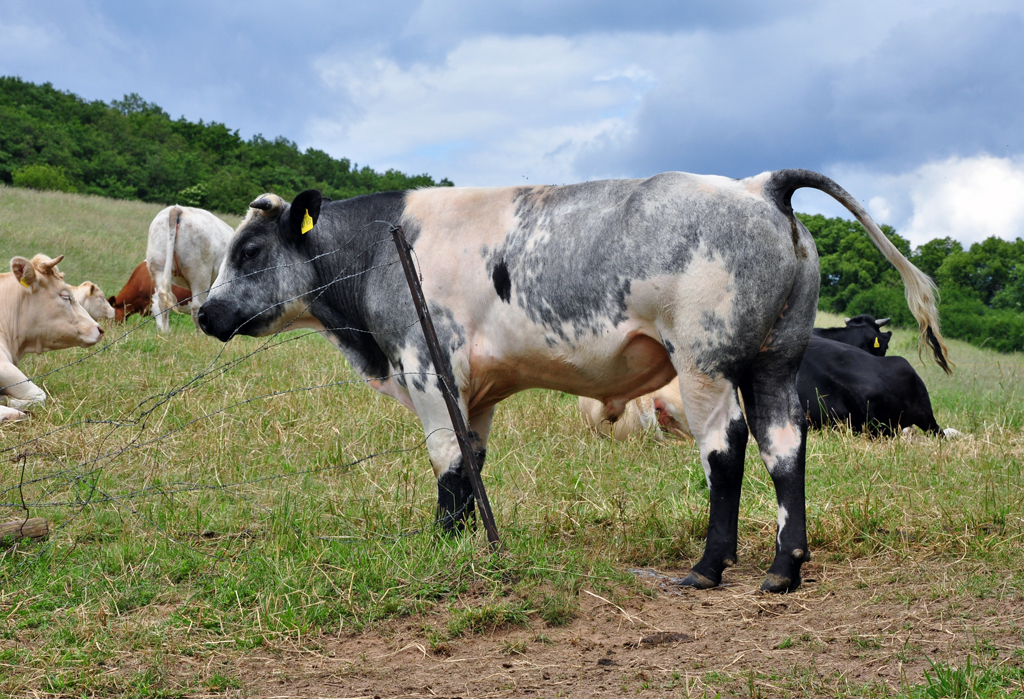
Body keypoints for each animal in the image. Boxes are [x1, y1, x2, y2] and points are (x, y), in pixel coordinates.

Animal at [145, 203, 233, 331]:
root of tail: (177, 208)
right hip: (200, 273)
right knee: (197, 308)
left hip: (158, 267)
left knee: (163, 301)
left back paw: (165, 332)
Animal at [199, 169, 950, 589]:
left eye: (251, 249)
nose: (204, 311)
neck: (386, 244)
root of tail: (759, 185)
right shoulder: (476, 390)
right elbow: (472, 463)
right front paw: (468, 544)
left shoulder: (429, 368)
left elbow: (446, 464)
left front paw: (441, 546)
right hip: (776, 361)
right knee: (784, 447)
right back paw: (782, 568)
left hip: (705, 364)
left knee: (726, 449)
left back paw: (708, 568)